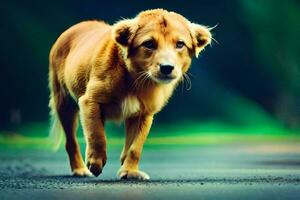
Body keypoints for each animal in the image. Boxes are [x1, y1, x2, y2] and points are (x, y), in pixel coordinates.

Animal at [48, 8, 211, 180]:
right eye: (149, 44)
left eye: (180, 44)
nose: (167, 67)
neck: (136, 80)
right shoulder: (89, 101)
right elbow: (96, 134)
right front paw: (96, 162)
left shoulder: (143, 113)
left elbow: (134, 147)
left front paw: (129, 171)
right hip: (64, 103)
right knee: (71, 141)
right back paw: (80, 169)